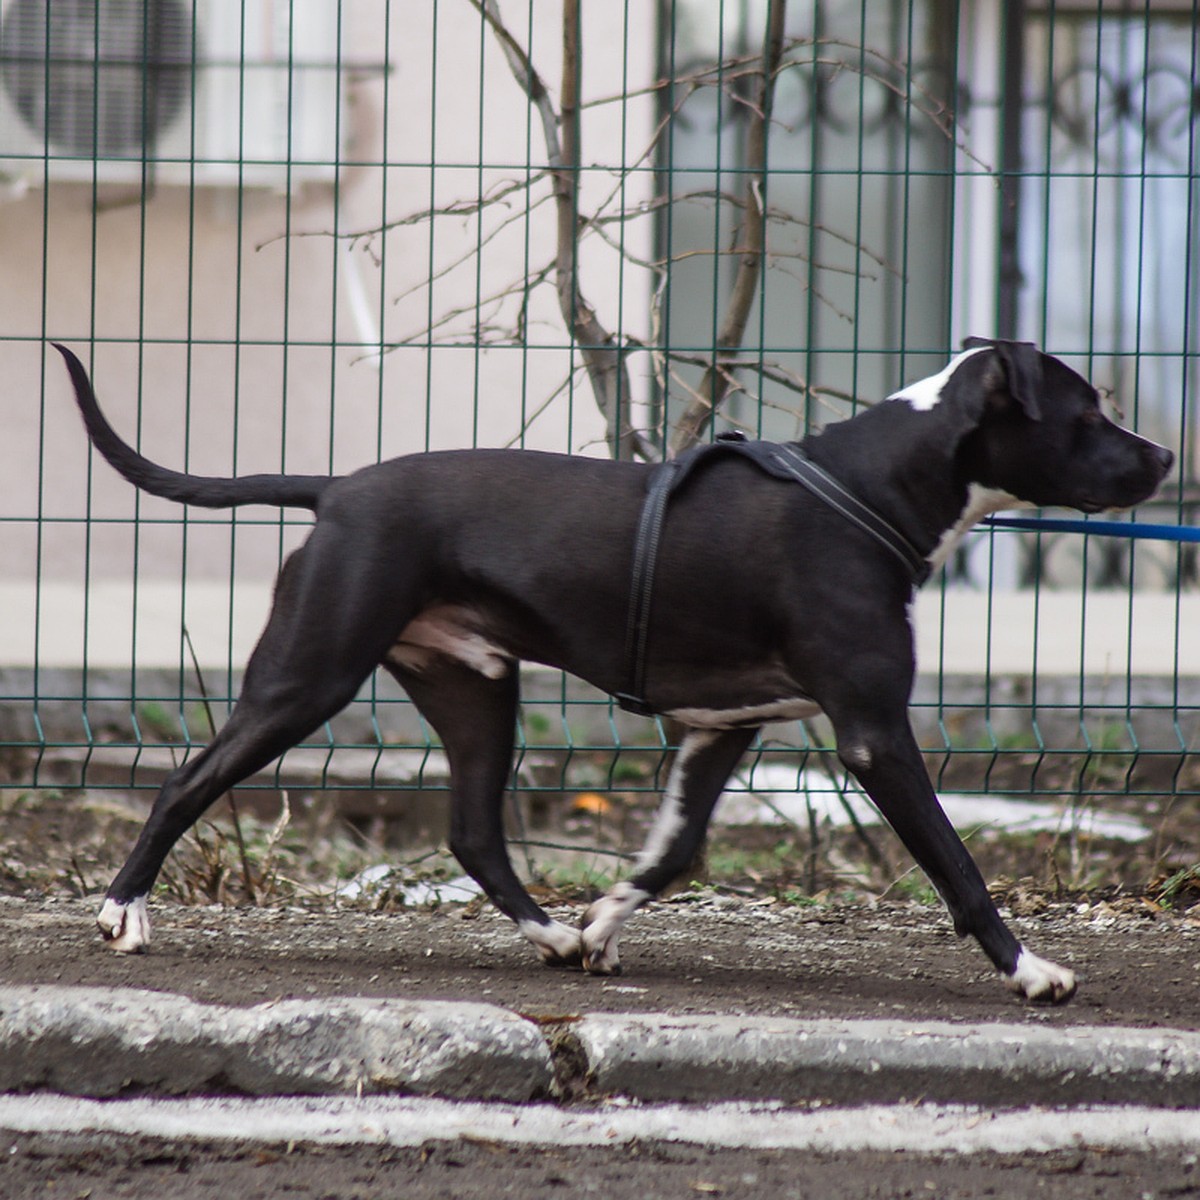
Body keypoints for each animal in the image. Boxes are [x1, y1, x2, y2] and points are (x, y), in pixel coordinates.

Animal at [56, 340, 1171, 1003]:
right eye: (1087, 412)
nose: (1163, 458)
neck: (869, 489)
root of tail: (335, 488)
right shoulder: (872, 732)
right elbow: (958, 865)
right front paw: (1031, 970)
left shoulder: (723, 729)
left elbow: (671, 855)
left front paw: (596, 926)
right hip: (308, 678)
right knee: (187, 779)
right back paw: (123, 911)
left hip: (476, 691)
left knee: (473, 835)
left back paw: (551, 937)